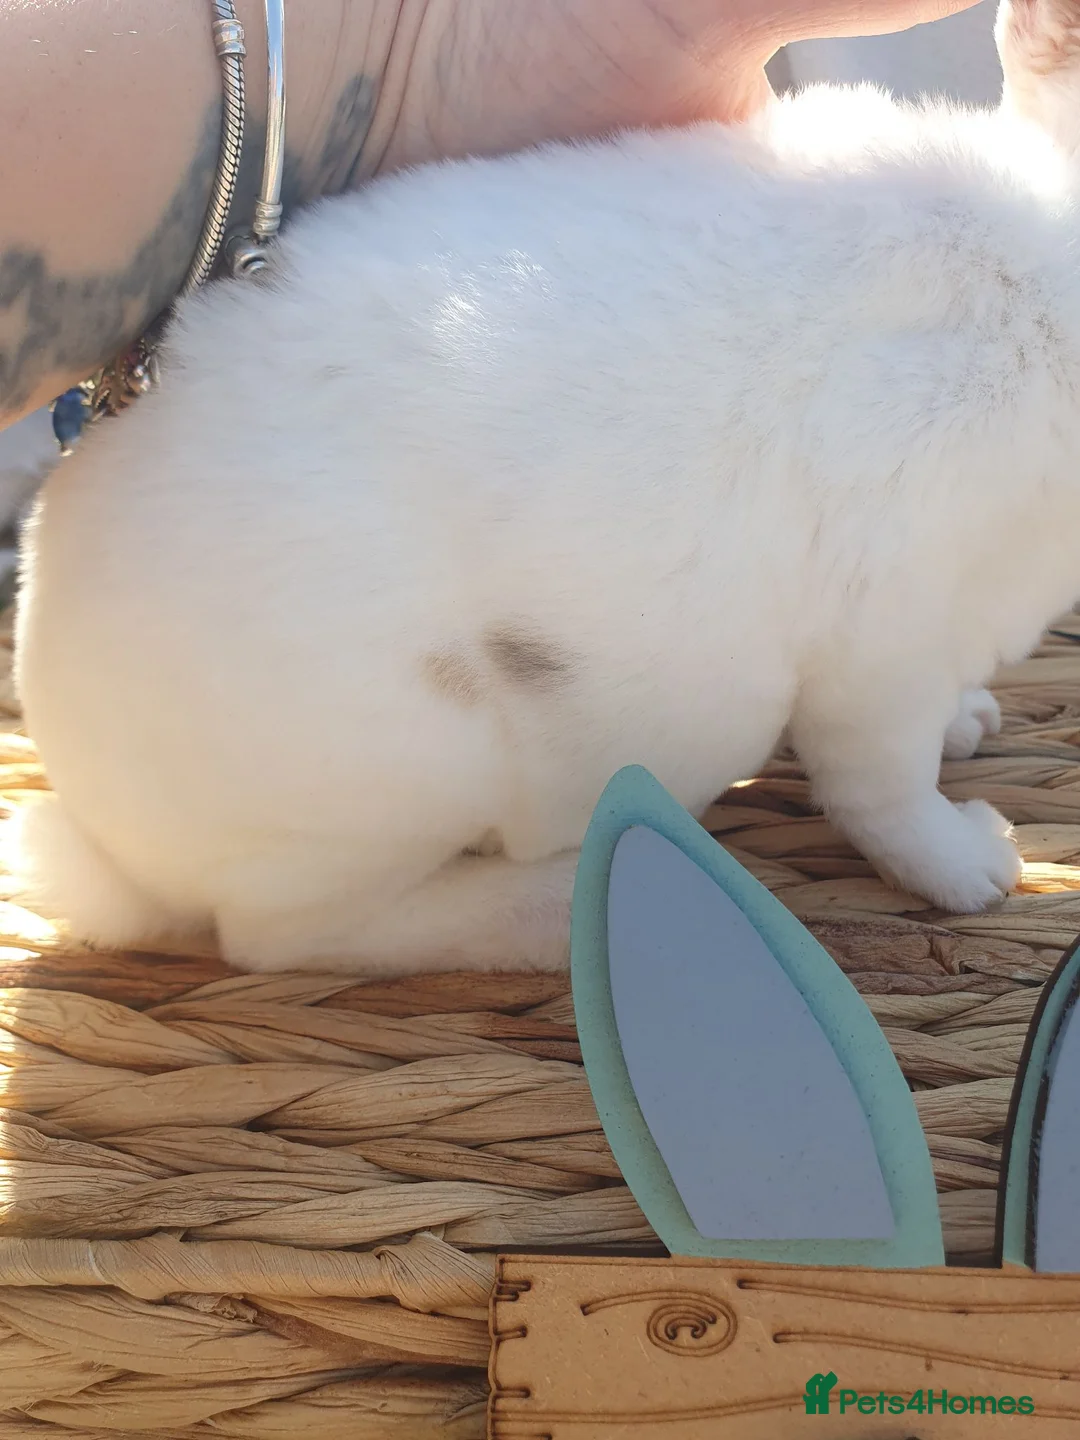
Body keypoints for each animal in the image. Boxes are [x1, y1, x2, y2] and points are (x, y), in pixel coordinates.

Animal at [8, 0, 1080, 976]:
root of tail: (113, 847)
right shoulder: (886, 641)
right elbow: (885, 789)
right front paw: (975, 865)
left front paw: (971, 725)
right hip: (396, 775)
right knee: (286, 937)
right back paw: (557, 903)